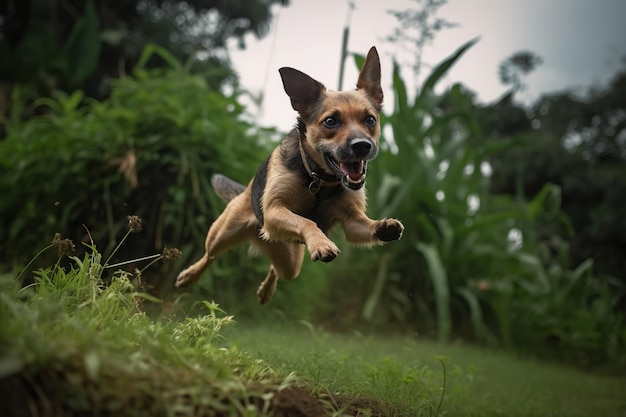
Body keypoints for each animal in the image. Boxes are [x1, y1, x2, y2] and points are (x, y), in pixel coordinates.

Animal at [173, 47, 402, 304]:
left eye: (370, 120)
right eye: (330, 121)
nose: (362, 146)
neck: (319, 180)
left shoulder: (351, 219)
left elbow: (363, 224)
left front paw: (382, 226)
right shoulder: (274, 210)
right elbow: (307, 221)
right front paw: (321, 243)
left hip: (290, 261)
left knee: (277, 269)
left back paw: (266, 290)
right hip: (222, 233)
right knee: (210, 255)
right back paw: (189, 276)